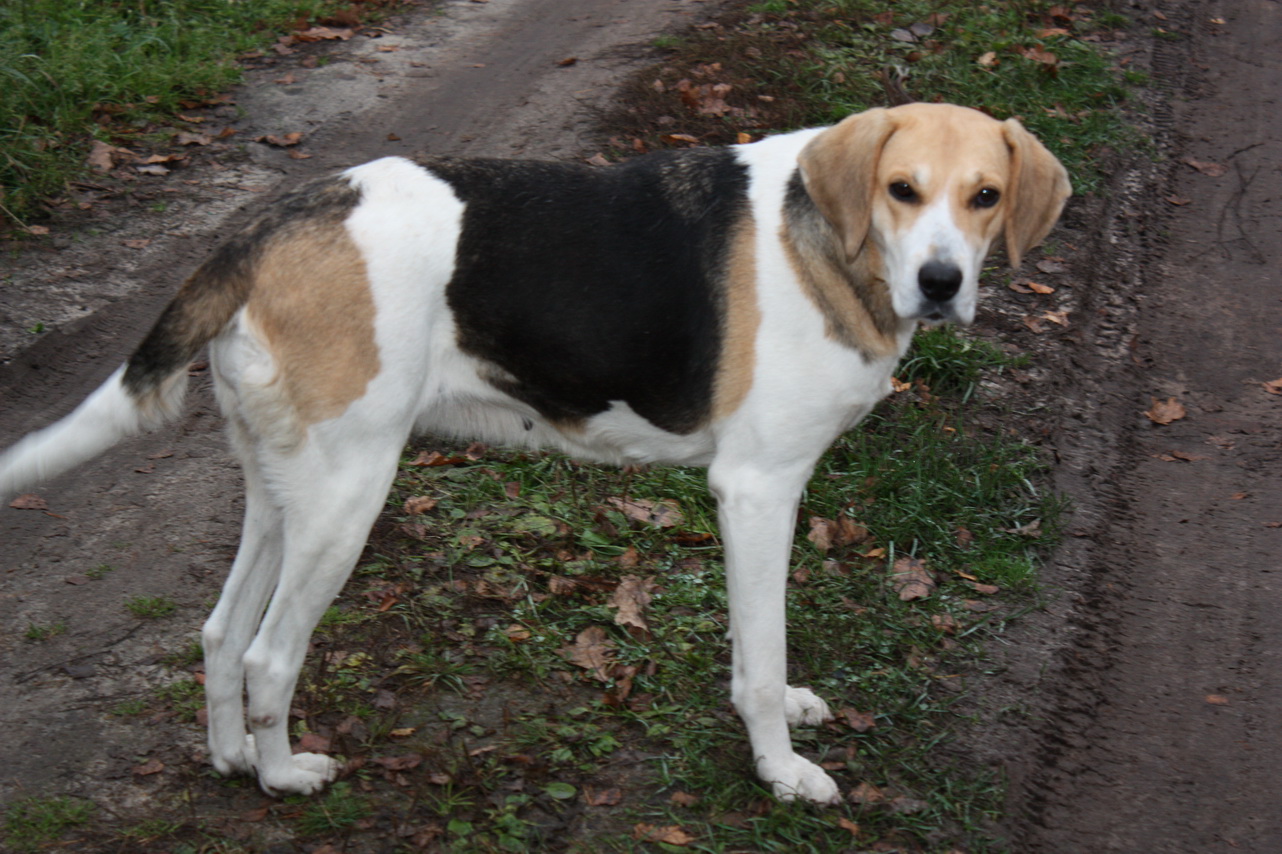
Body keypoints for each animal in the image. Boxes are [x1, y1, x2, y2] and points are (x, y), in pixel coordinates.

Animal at [0, 103, 1071, 800]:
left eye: (985, 196)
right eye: (902, 191)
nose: (942, 284)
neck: (838, 247)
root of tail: (265, 224)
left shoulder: (754, 505)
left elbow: (757, 643)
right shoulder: (758, 489)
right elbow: (761, 657)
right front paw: (781, 771)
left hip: (281, 490)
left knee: (223, 635)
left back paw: (230, 761)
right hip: (347, 496)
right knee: (269, 654)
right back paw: (281, 777)